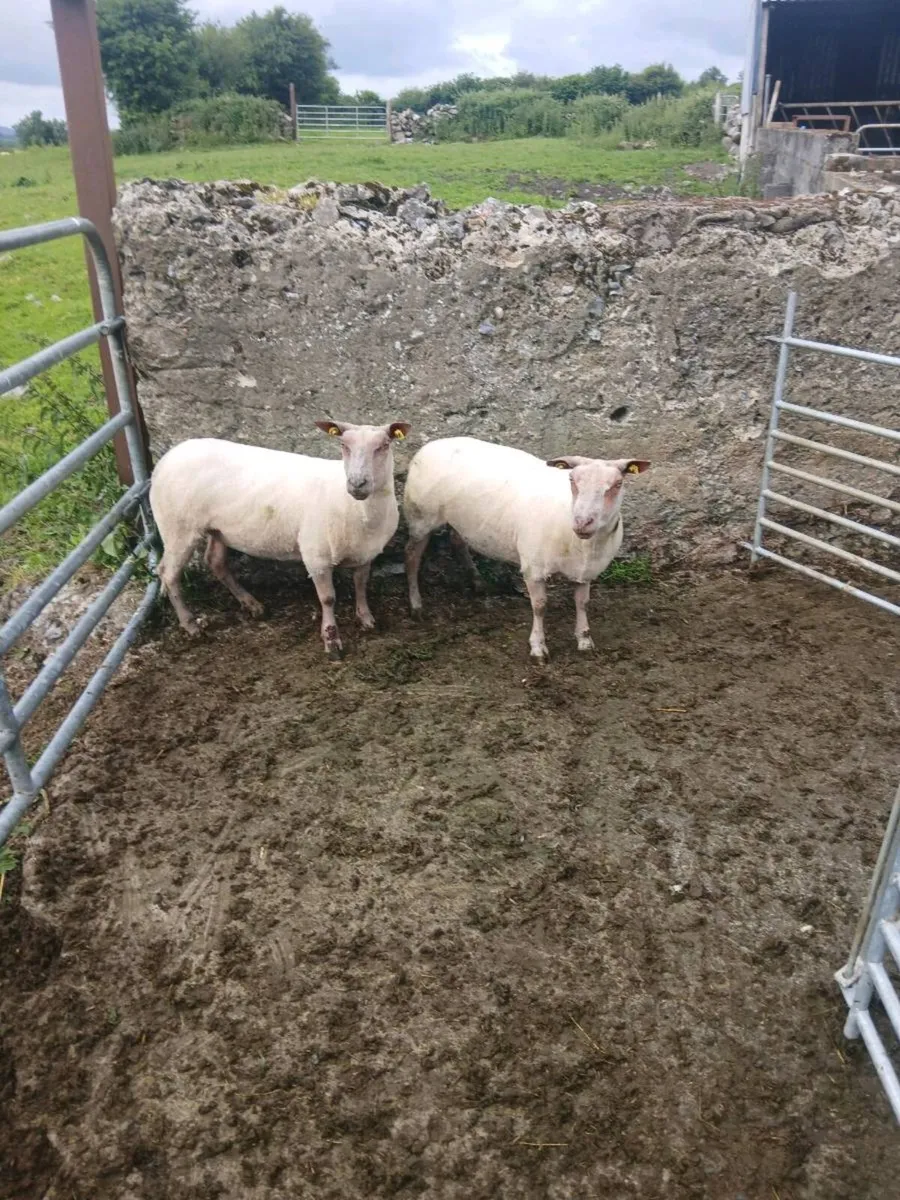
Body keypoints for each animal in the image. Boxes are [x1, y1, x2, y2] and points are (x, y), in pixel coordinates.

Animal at [149, 419, 411, 658]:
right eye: (343, 445)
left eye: (384, 445)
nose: (357, 483)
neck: (359, 510)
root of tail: (167, 457)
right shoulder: (316, 556)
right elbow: (327, 599)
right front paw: (332, 641)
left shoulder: (366, 551)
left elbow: (361, 583)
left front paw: (366, 618)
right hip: (178, 528)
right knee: (168, 574)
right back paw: (191, 625)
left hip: (217, 528)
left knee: (215, 562)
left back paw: (252, 604)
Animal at [403, 437, 650, 660]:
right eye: (571, 480)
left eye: (617, 484)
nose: (582, 522)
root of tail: (433, 443)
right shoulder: (534, 568)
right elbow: (539, 606)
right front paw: (538, 647)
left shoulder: (585, 572)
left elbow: (582, 603)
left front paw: (584, 640)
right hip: (421, 517)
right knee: (412, 557)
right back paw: (416, 605)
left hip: (462, 519)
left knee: (458, 541)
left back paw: (477, 581)